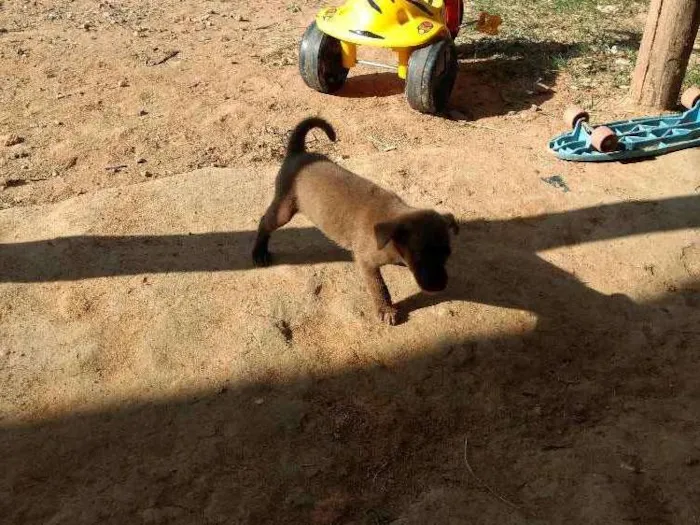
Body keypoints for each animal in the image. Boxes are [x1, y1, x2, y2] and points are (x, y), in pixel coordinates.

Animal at [253, 118, 460, 324]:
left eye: (447, 253)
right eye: (418, 254)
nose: (440, 286)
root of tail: (299, 152)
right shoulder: (366, 262)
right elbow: (379, 287)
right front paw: (386, 309)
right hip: (284, 210)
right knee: (264, 222)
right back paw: (259, 252)